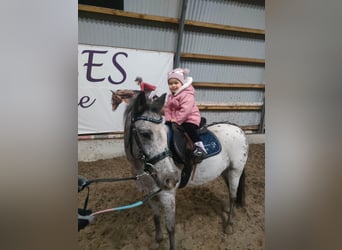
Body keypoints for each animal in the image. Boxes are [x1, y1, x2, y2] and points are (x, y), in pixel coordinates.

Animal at [121, 92, 247, 250]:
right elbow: (156, 218)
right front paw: (158, 239)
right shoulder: (148, 194)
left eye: (165, 134)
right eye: (145, 133)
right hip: (226, 171)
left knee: (232, 196)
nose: (171, 178)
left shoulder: (167, 195)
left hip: (236, 171)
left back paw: (229, 225)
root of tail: (238, 129)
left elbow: (171, 228)